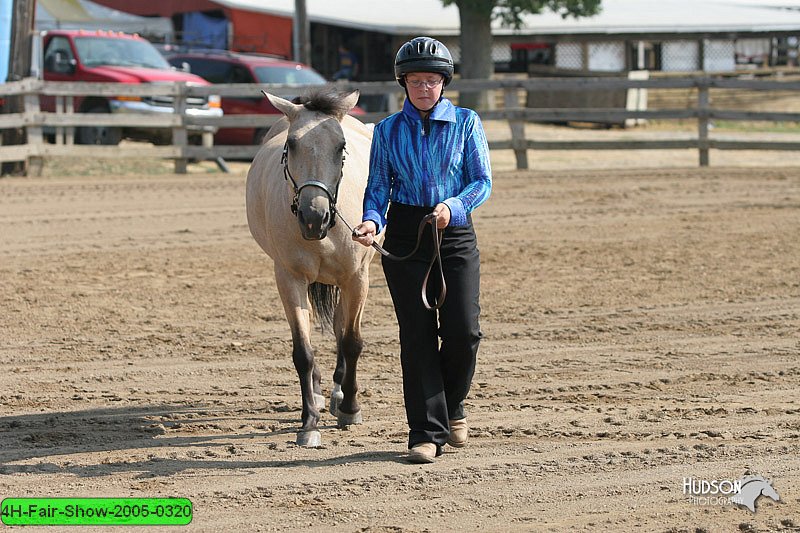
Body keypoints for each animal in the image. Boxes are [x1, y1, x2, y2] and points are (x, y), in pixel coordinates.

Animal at [245, 89, 376, 446]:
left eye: (341, 146)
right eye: (291, 144)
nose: (313, 216)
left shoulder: (356, 278)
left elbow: (351, 342)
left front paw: (350, 409)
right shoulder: (290, 279)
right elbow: (302, 352)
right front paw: (309, 423)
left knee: (341, 329)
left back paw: (338, 394)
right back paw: (319, 394)